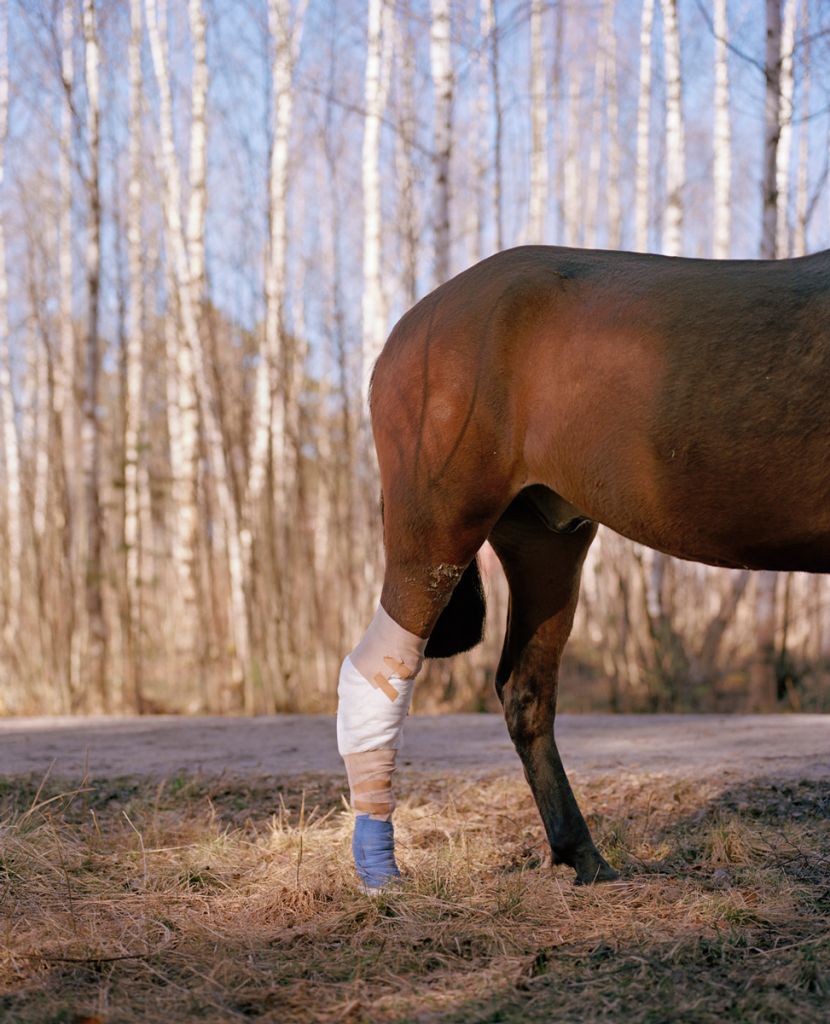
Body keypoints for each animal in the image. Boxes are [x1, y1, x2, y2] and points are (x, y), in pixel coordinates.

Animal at [366, 243, 830, 884]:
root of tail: (405, 328)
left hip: (546, 543)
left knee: (525, 694)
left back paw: (582, 856)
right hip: (434, 533)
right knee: (379, 676)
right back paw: (377, 872)